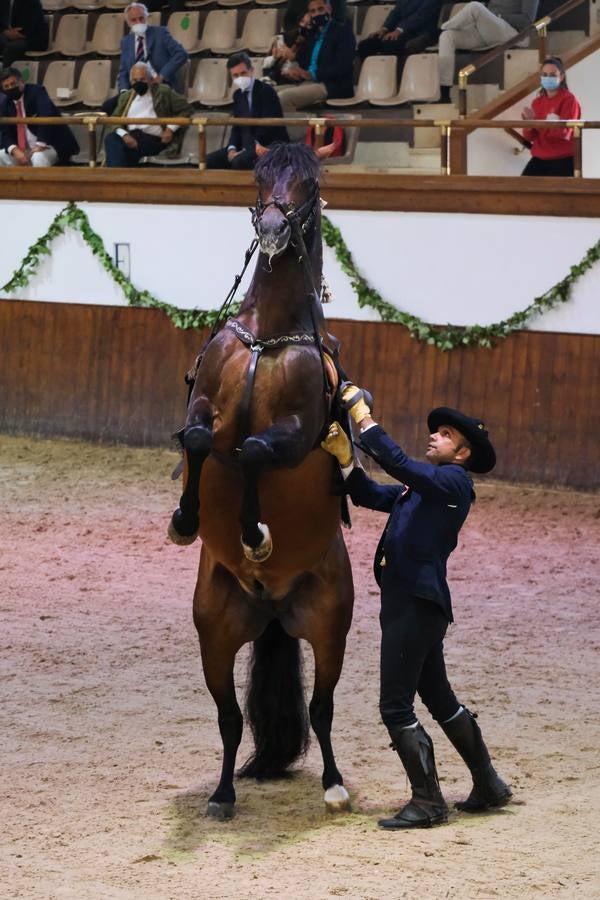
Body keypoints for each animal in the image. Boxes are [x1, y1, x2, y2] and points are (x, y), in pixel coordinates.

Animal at [169, 144, 354, 820]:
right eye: (259, 176)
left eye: (311, 182)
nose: (274, 228)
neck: (268, 337)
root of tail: (273, 606)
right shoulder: (202, 410)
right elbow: (202, 443)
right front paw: (185, 519)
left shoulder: (296, 433)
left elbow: (251, 450)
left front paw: (256, 535)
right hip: (216, 634)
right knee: (228, 720)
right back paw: (222, 794)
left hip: (329, 627)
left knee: (322, 710)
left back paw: (334, 787)